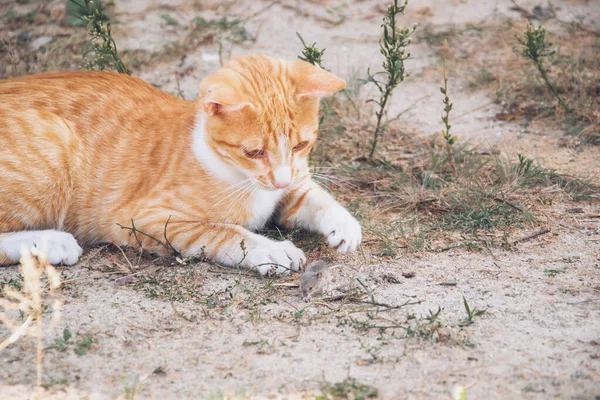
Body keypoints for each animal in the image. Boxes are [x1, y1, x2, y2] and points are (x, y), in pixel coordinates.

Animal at [0, 54, 360, 276]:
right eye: (254, 152)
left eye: (301, 145)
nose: (281, 180)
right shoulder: (146, 219)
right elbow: (225, 232)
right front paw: (271, 250)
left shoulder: (290, 184)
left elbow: (313, 196)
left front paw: (343, 224)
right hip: (53, 146)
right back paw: (53, 242)